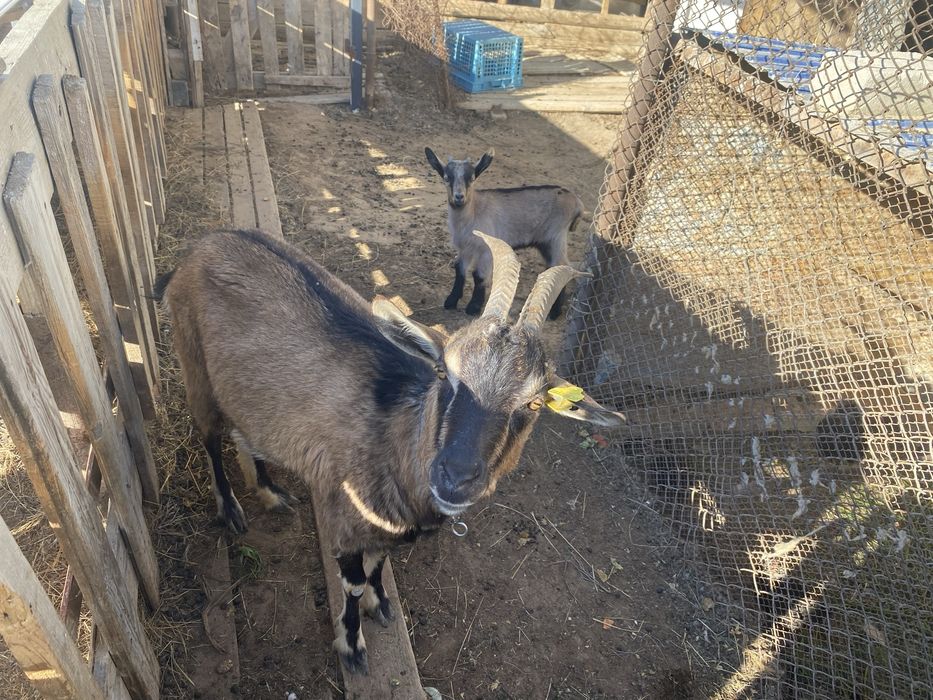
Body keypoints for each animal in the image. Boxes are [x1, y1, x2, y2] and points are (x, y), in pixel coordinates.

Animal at [157, 228, 623, 674]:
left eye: (534, 403)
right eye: (444, 373)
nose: (454, 477)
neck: (392, 437)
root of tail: (200, 247)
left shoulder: (388, 527)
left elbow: (378, 563)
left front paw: (380, 604)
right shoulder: (343, 519)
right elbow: (353, 582)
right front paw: (351, 645)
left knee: (245, 433)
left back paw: (270, 491)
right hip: (194, 362)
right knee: (210, 437)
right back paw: (231, 509)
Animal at [425, 147, 591, 318]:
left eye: (471, 178)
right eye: (446, 178)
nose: (459, 197)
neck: (473, 211)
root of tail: (577, 204)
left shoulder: (486, 249)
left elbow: (479, 276)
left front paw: (473, 307)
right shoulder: (464, 248)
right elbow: (460, 270)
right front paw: (451, 301)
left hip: (556, 237)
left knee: (562, 267)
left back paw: (555, 312)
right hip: (546, 243)